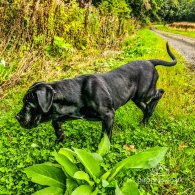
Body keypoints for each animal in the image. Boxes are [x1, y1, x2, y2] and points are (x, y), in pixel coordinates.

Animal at [16, 43, 177, 142]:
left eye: (28, 104)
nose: (17, 117)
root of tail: (150, 61)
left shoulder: (108, 115)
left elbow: (105, 136)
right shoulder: (71, 114)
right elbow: (56, 121)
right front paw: (60, 137)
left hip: (145, 92)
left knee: (159, 92)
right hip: (137, 98)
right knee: (146, 108)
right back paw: (146, 119)